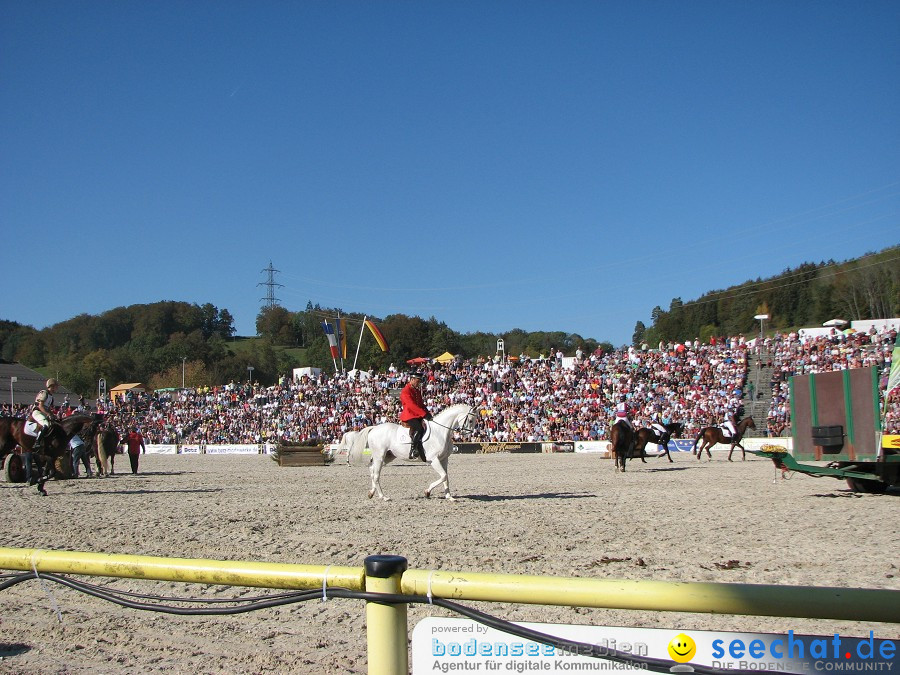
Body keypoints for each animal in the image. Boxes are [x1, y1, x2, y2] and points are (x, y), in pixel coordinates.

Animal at [350, 404, 478, 500]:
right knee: (376, 474)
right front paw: (427, 492)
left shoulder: (444, 459)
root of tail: (374, 428)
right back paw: (383, 497)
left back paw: (371, 493)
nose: (467, 435)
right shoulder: (433, 460)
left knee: (372, 470)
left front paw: (449, 497)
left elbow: (446, 477)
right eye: (471, 420)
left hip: (388, 456)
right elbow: (443, 476)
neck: (440, 431)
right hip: (379, 456)